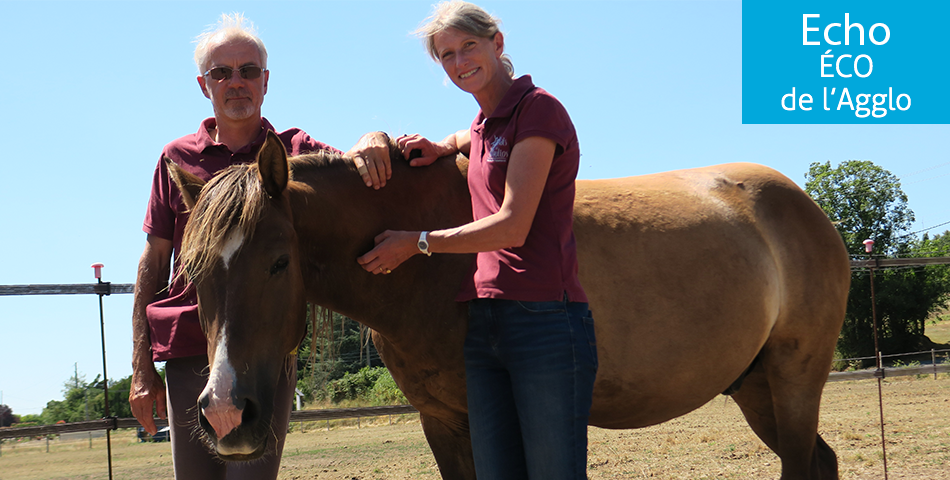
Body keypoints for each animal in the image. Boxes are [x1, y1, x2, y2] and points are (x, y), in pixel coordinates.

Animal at [167, 129, 852, 478]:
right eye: (193, 272)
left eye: (279, 262)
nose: (225, 414)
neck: (435, 265)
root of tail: (803, 203)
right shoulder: (443, 422)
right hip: (755, 386)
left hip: (794, 380)